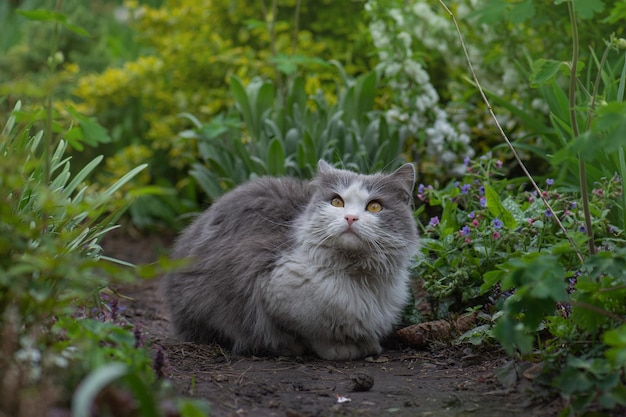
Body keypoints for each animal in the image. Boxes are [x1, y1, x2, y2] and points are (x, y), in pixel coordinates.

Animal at [165, 161, 420, 360]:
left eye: (375, 206)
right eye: (337, 202)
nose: (350, 217)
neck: (357, 276)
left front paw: (368, 345)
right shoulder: (273, 288)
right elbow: (316, 333)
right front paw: (341, 349)